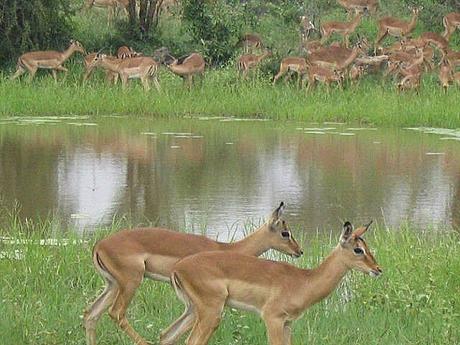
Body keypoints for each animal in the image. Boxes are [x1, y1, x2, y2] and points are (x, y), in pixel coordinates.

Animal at [84, 202, 304, 344]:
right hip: (131, 282)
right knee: (116, 313)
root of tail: (99, 246)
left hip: (113, 285)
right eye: (285, 233)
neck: (225, 248)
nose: (299, 251)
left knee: (91, 313)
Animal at [164, 220, 382, 344]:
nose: (378, 269)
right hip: (211, 313)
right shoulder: (272, 319)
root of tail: (178, 267)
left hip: (193, 309)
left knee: (166, 335)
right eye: (358, 250)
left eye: (367, 247)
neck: (305, 281)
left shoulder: (287, 323)